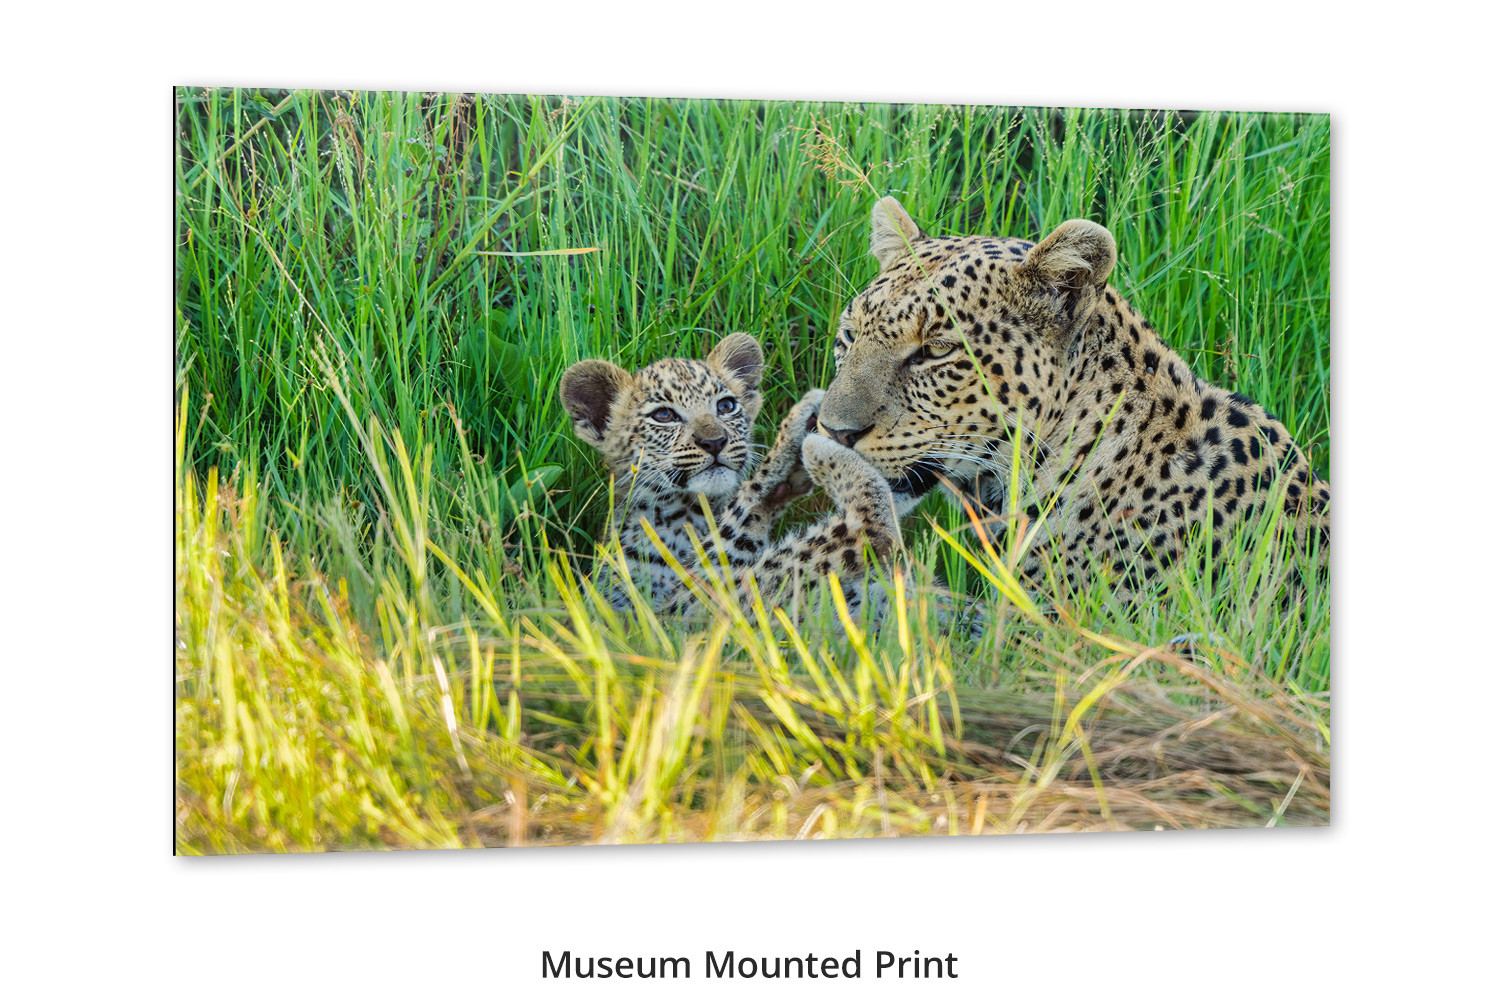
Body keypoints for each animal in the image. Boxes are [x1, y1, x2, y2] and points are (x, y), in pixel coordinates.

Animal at [560, 332, 902, 619]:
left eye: (726, 406)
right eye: (664, 415)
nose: (715, 441)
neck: (687, 515)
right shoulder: (675, 611)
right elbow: (742, 509)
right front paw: (796, 430)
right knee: (865, 530)